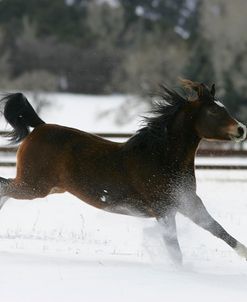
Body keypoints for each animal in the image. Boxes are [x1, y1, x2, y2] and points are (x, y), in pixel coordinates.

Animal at [0, 79, 247, 264]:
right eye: (213, 110)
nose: (241, 129)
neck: (161, 157)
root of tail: (40, 126)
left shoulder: (188, 202)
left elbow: (217, 229)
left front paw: (244, 254)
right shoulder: (164, 209)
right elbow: (175, 251)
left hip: (48, 187)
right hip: (33, 186)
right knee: (4, 186)